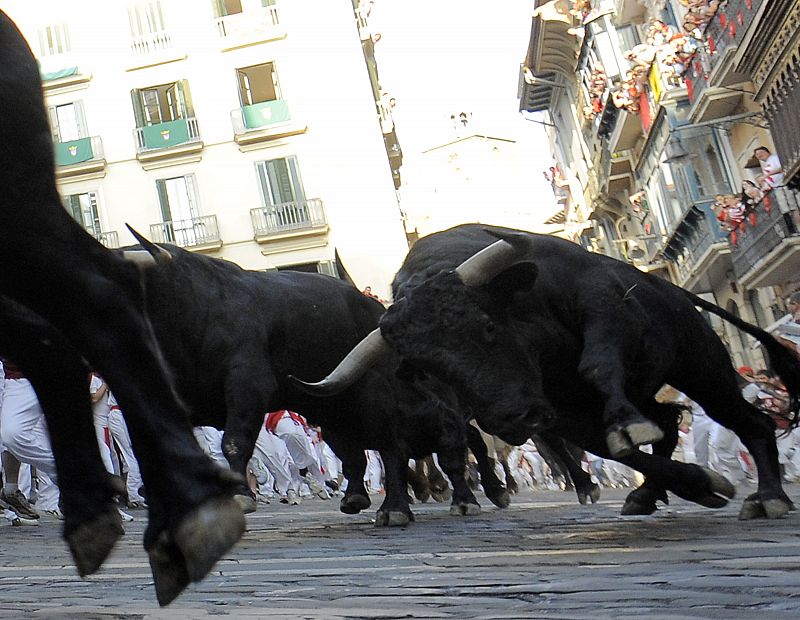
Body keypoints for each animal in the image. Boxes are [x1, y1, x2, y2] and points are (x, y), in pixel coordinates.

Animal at [302, 224, 800, 520]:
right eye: (426, 369)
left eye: (487, 326)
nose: (511, 419)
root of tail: (670, 288)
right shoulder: (565, 418)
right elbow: (622, 453)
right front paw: (699, 482)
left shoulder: (601, 303)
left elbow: (598, 365)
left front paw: (628, 427)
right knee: (668, 423)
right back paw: (646, 494)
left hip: (702, 366)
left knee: (750, 422)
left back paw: (769, 497)